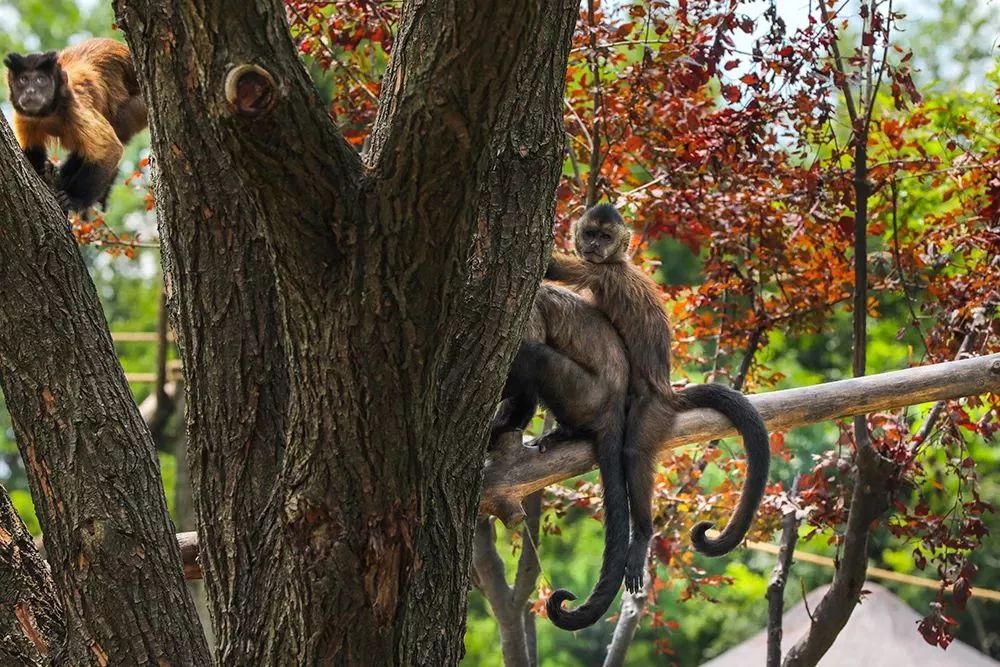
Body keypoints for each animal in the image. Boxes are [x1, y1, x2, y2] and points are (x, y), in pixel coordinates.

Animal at [3, 37, 148, 214]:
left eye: (40, 80)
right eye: (23, 80)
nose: (30, 91)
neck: (49, 114)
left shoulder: (76, 109)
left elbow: (111, 150)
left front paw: (74, 199)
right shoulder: (23, 115)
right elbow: (31, 150)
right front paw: (44, 172)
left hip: (141, 106)